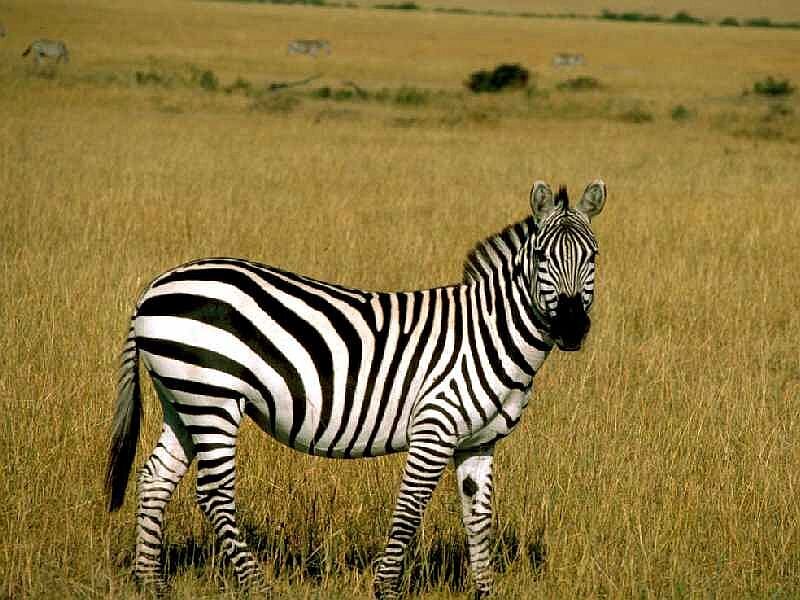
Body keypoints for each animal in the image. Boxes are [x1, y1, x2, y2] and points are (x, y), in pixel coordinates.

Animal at [105, 179, 607, 598]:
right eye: (541, 257)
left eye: (593, 257)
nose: (572, 329)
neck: (489, 334)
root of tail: (156, 285)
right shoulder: (434, 427)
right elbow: (410, 510)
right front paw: (385, 589)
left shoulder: (479, 442)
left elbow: (477, 517)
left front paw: (485, 591)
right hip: (212, 398)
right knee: (213, 493)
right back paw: (257, 586)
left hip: (184, 399)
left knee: (155, 478)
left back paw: (152, 583)